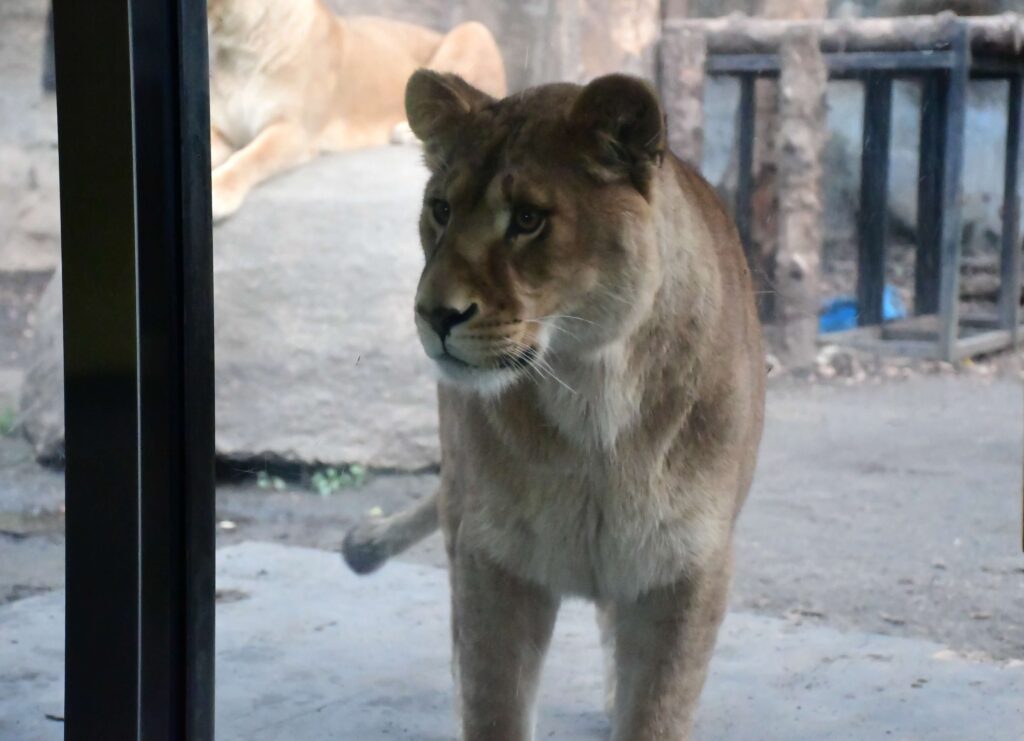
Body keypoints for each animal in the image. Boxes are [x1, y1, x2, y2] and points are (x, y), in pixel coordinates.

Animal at [206, 0, 507, 220]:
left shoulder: (295, 132)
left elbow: (251, 157)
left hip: (472, 30)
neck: (242, 52)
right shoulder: (220, 131)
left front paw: (218, 191)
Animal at [342, 71, 761, 741]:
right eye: (441, 209)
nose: (434, 314)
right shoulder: (494, 559)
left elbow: (657, 709)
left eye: (528, 219)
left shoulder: (685, 568)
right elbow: (493, 703)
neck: (592, 392)